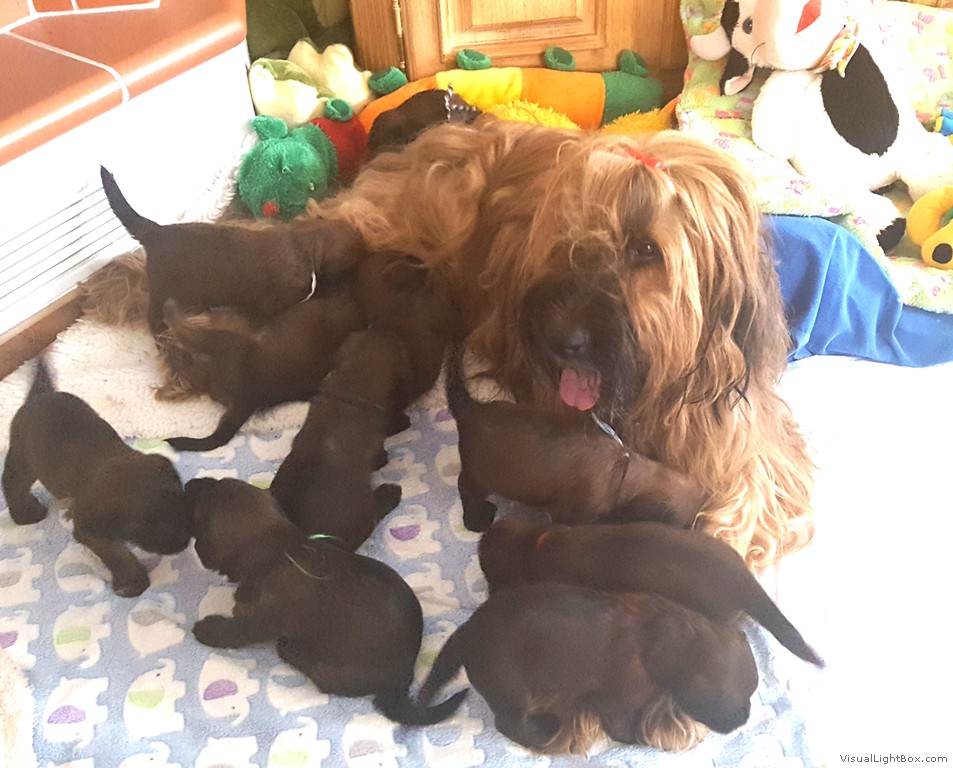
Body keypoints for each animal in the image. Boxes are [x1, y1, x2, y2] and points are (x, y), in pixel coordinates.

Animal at [2, 358, 191, 597]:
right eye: (139, 527)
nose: (183, 543)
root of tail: (39, 395)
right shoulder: (89, 530)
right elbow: (118, 554)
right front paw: (132, 581)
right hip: (23, 458)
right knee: (13, 482)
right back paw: (25, 513)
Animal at [185, 476, 466, 724]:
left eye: (198, 512)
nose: (191, 482)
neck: (278, 551)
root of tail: (401, 682)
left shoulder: (256, 621)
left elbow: (233, 632)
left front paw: (206, 630)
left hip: (329, 671)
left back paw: (291, 650)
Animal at [417, 582, 758, 752]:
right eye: (744, 697)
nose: (746, 717)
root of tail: (467, 631)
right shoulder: (614, 702)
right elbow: (625, 731)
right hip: (511, 690)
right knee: (509, 724)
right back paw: (543, 732)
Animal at [444, 345, 708, 531]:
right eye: (687, 524)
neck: (622, 470)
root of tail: (471, 408)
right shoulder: (571, 514)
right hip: (480, 476)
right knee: (464, 486)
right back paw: (475, 518)